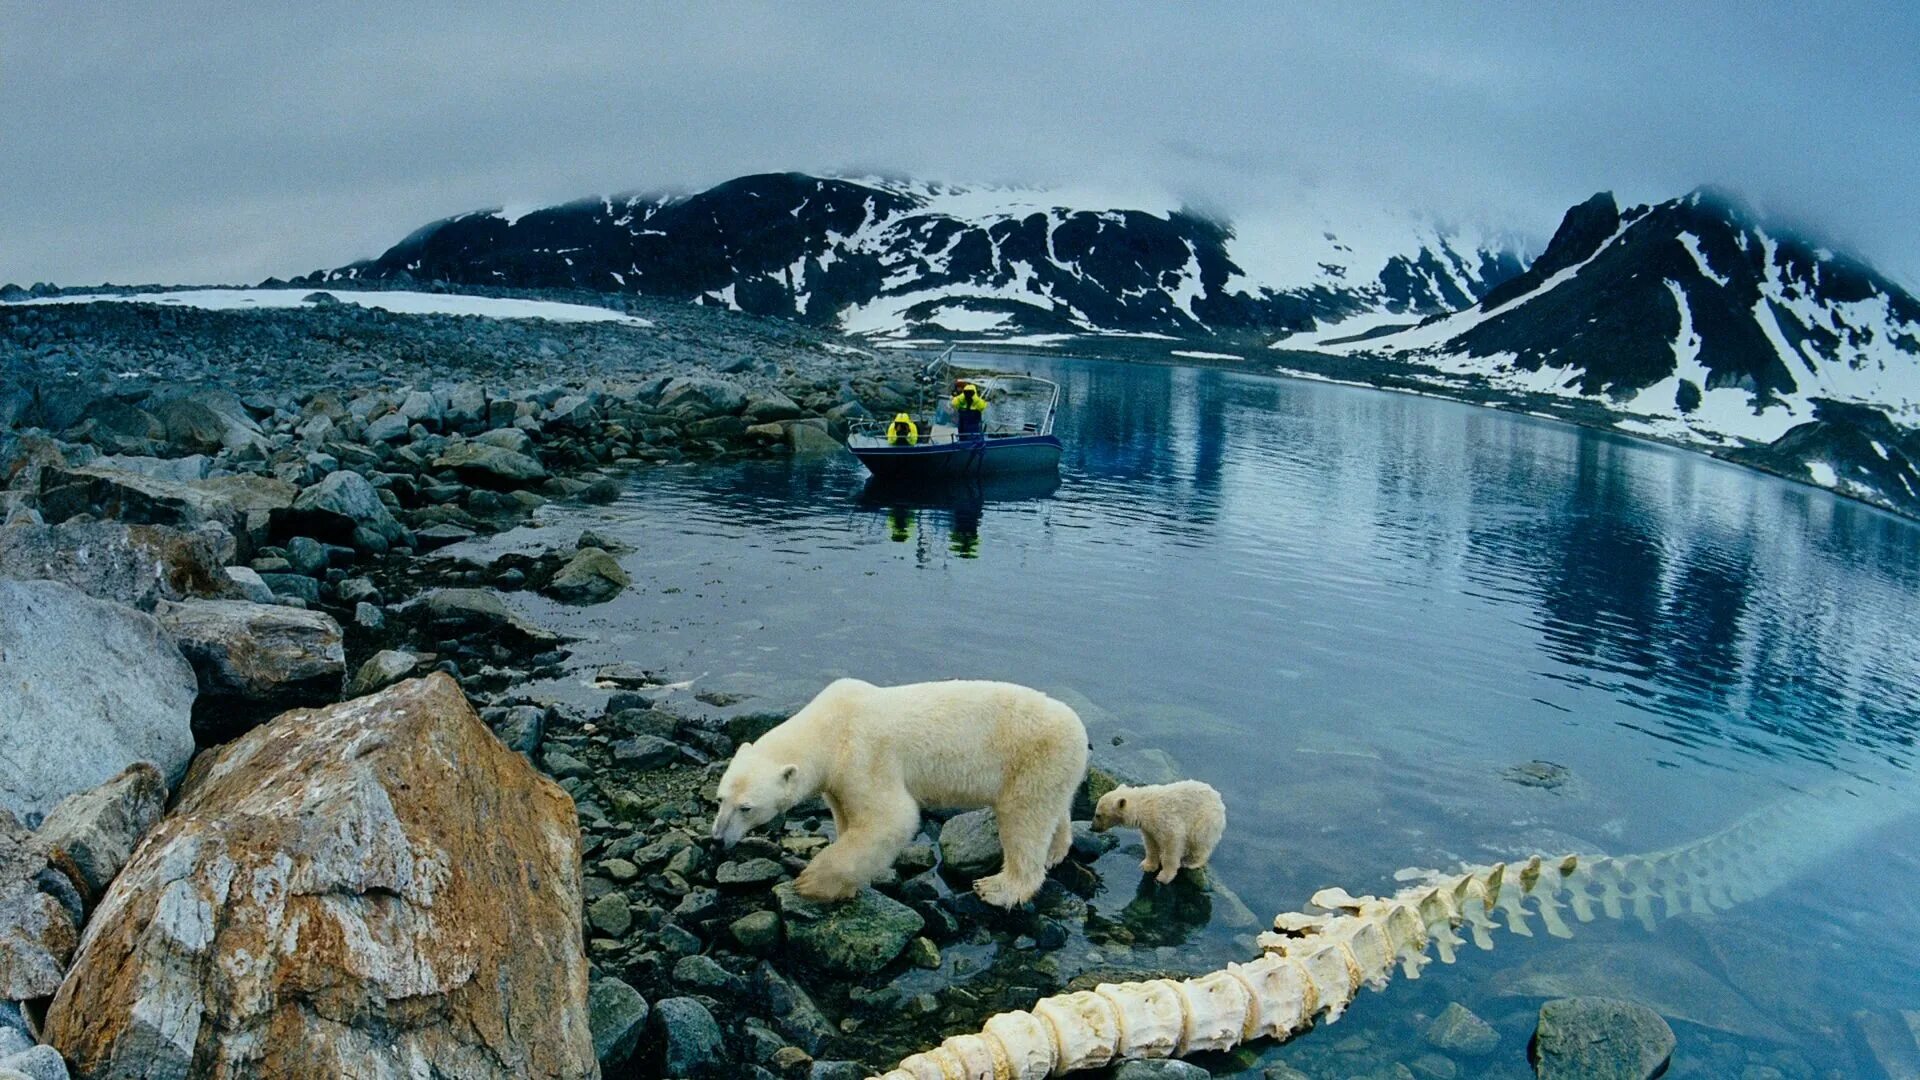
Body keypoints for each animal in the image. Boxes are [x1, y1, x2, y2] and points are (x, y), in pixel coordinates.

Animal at [710, 676, 1098, 903]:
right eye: (720, 799)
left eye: (746, 807)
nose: (716, 840)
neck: (829, 727)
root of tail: (1080, 732)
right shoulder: (837, 779)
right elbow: (847, 816)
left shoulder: (863, 756)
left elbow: (891, 819)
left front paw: (811, 883)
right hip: (1054, 771)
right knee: (1053, 811)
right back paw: (1055, 852)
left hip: (1031, 761)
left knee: (1023, 822)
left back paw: (998, 888)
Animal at [1098, 776, 1228, 880]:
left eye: (1098, 815)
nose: (1094, 828)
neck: (1146, 806)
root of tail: (1218, 798)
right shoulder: (1148, 828)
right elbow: (1151, 844)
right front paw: (1147, 865)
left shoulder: (1164, 819)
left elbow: (1172, 844)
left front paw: (1164, 876)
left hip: (1205, 817)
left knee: (1199, 839)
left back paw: (1191, 862)